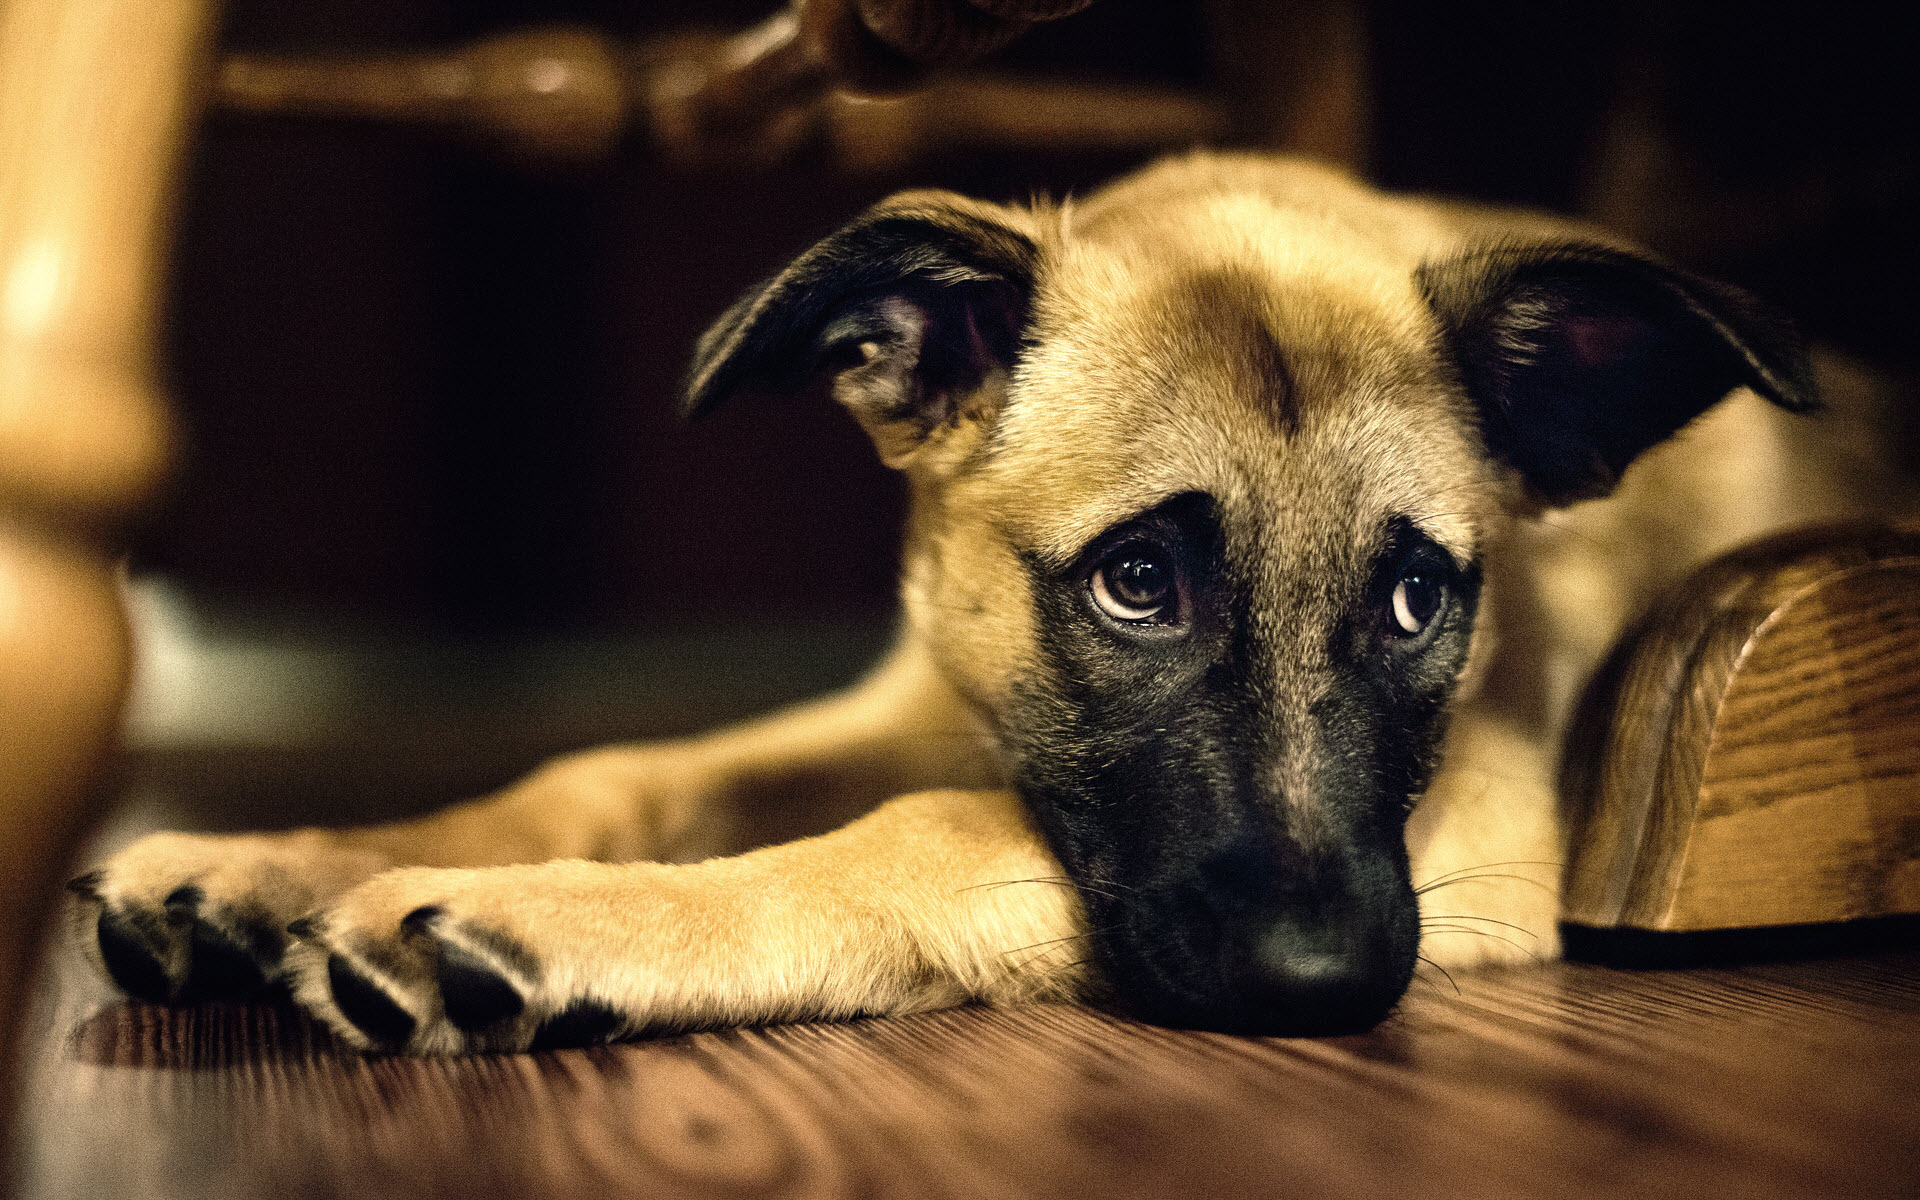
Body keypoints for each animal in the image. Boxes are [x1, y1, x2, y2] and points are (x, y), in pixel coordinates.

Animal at [63, 151, 1889, 1044]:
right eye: (1138, 582)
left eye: (1419, 598)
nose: (1323, 986)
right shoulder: (928, 702)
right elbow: (621, 769)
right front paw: (285, 860)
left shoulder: (1492, 823)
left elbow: (923, 837)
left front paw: (564, 919)